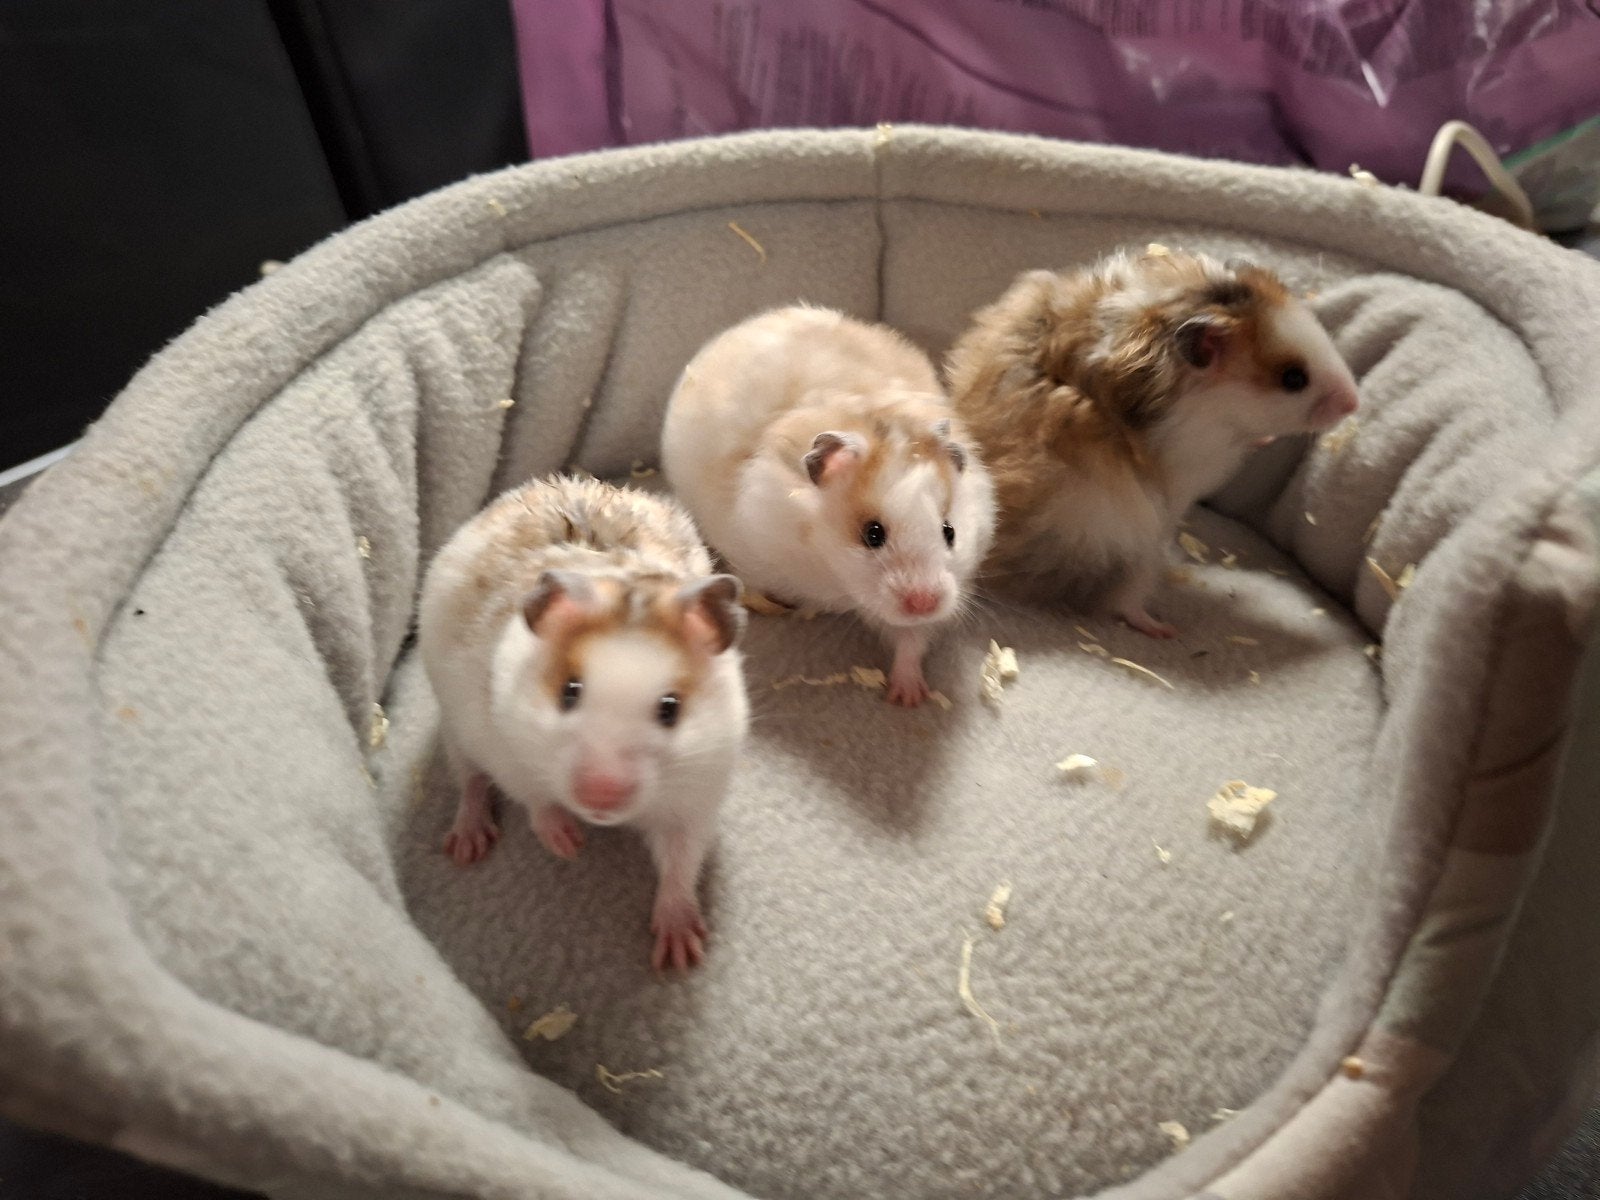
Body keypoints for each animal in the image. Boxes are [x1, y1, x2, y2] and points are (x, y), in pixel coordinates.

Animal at [417, 475, 749, 971]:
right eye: (569, 692)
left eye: (670, 709)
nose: (600, 799)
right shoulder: (508, 750)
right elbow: (536, 800)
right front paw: (568, 845)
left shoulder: (695, 799)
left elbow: (679, 863)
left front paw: (680, 954)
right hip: (458, 732)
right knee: (470, 781)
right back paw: (466, 847)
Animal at [661, 305, 996, 707]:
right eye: (872, 534)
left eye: (949, 532)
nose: (924, 604)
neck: (827, 570)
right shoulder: (752, 550)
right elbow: (750, 584)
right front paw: (772, 609)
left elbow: (910, 640)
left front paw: (907, 697)